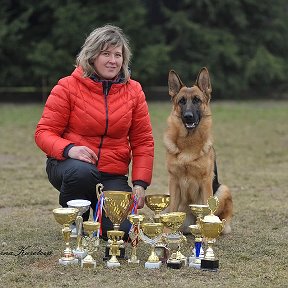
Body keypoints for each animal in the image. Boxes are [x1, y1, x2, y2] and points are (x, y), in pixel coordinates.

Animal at [163, 68, 233, 235]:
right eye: (182, 101)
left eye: (197, 100)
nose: (188, 117)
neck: (189, 143)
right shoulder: (173, 181)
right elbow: (172, 209)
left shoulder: (205, 182)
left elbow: (207, 209)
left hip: (223, 190)